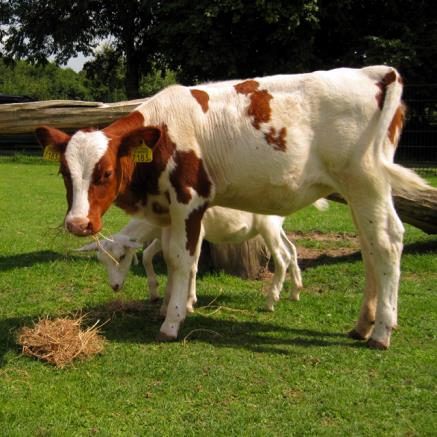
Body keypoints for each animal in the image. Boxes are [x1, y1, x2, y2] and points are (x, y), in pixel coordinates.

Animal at [35, 65, 430, 348]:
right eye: (64, 172)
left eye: (105, 172)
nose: (78, 223)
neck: (165, 132)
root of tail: (375, 72)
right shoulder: (168, 210)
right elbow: (168, 258)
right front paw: (168, 305)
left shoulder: (190, 200)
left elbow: (182, 259)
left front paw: (172, 320)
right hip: (356, 192)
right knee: (369, 248)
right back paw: (363, 324)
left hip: (368, 181)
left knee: (387, 243)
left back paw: (381, 331)